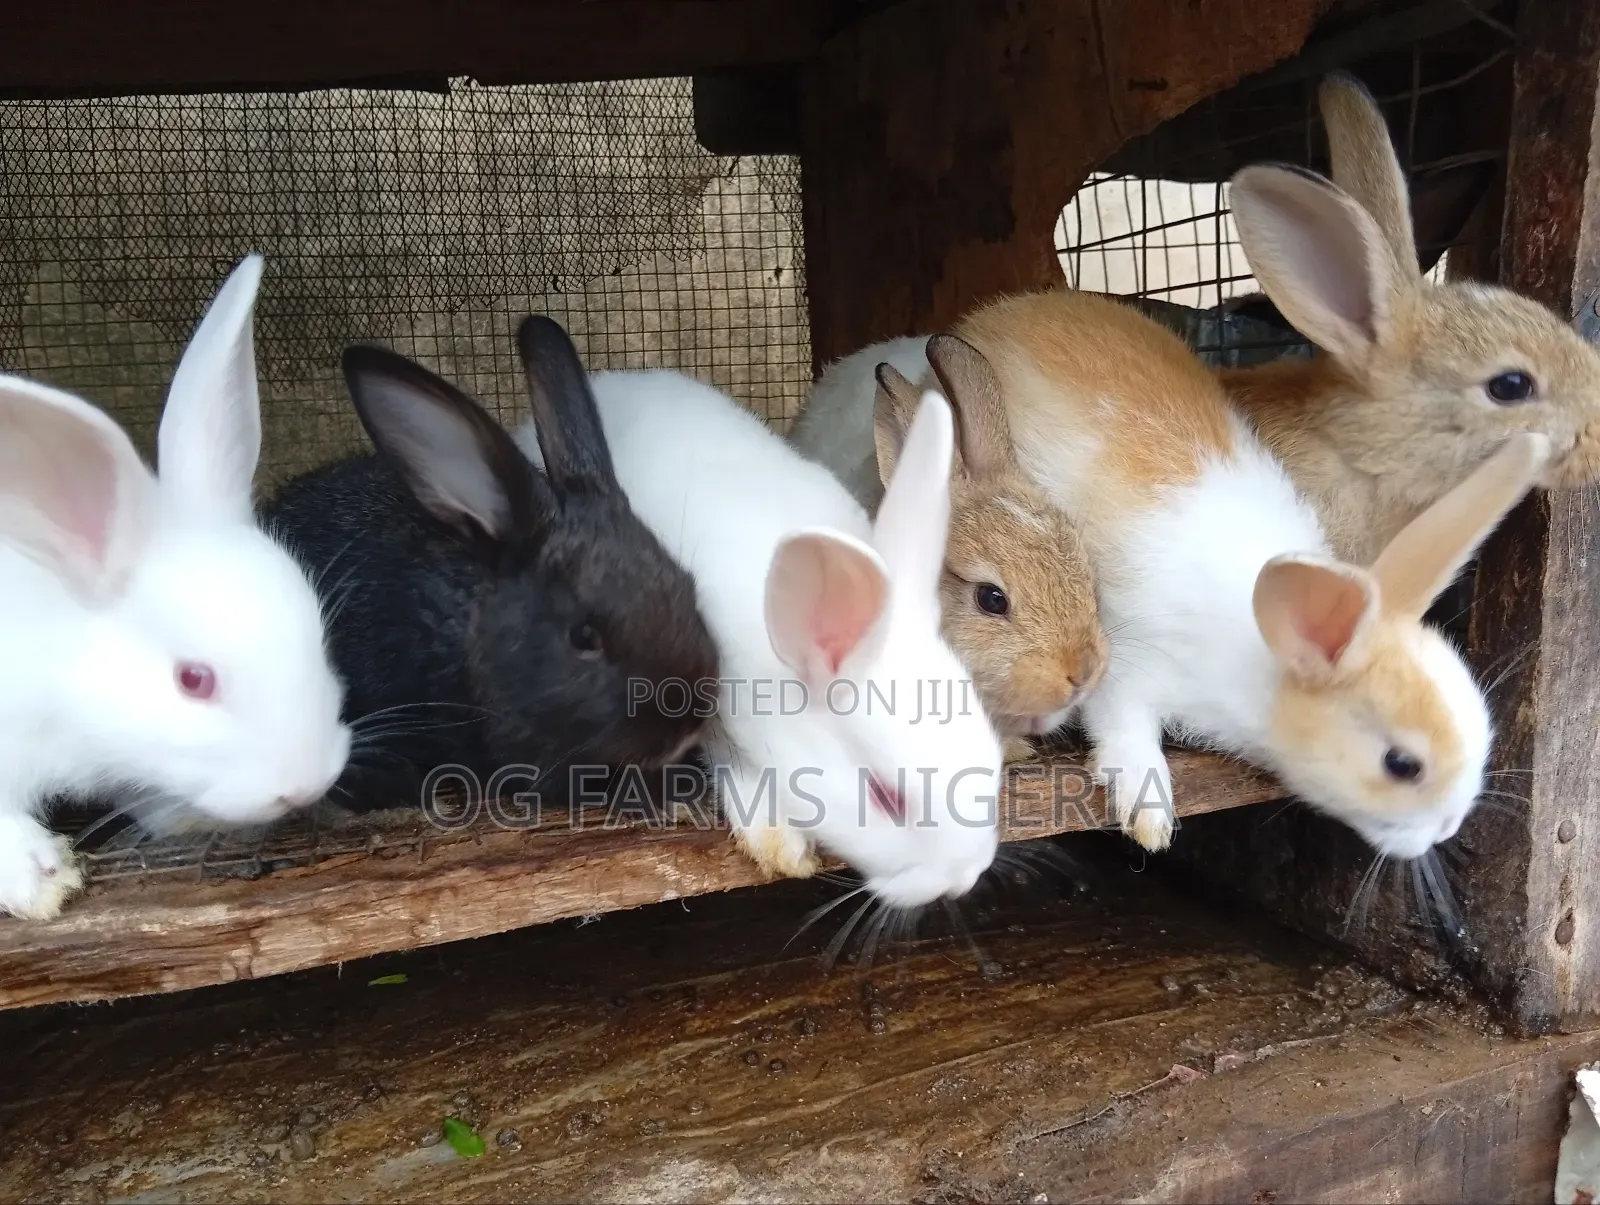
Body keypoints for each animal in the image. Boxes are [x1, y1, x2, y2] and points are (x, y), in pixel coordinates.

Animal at [946, 287, 1547, 859]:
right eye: (1402, 764)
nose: (1447, 830)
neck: (1265, 659)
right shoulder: (1129, 673)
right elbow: (1127, 736)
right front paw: (1150, 822)